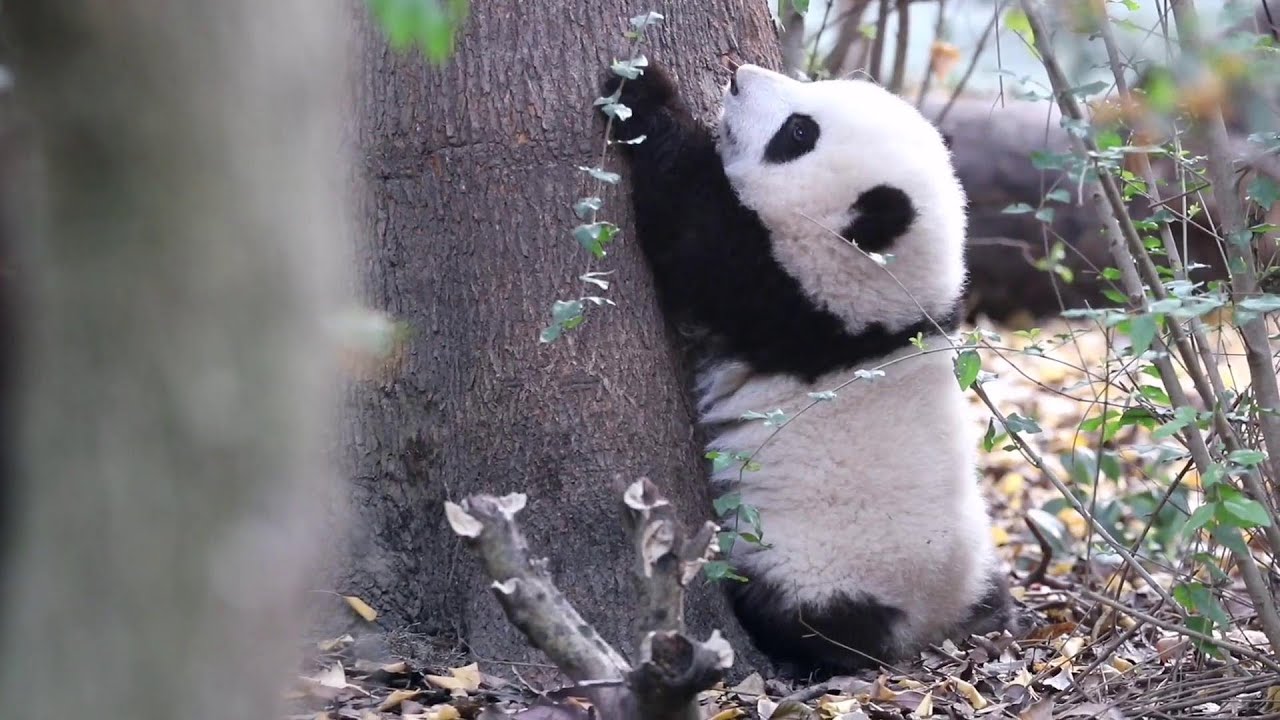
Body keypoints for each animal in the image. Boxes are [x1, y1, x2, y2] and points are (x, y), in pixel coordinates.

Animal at [598, 61, 1016, 675]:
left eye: (797, 134)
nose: (738, 76)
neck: (890, 309)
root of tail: (925, 627)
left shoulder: (789, 296)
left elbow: (689, 229)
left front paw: (641, 93)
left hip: (809, 564)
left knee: (794, 614)